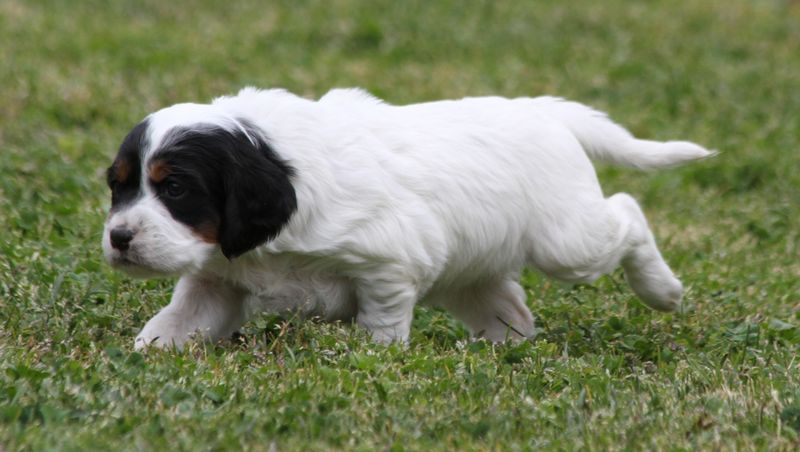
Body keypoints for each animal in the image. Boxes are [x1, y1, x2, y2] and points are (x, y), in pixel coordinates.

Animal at [102, 87, 713, 349]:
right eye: (118, 185)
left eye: (174, 188)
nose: (119, 238)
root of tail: (542, 109)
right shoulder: (217, 281)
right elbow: (174, 323)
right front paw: (145, 355)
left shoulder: (388, 262)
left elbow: (382, 325)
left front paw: (376, 359)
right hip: (471, 272)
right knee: (509, 308)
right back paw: (502, 350)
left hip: (568, 240)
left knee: (627, 211)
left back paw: (663, 291)